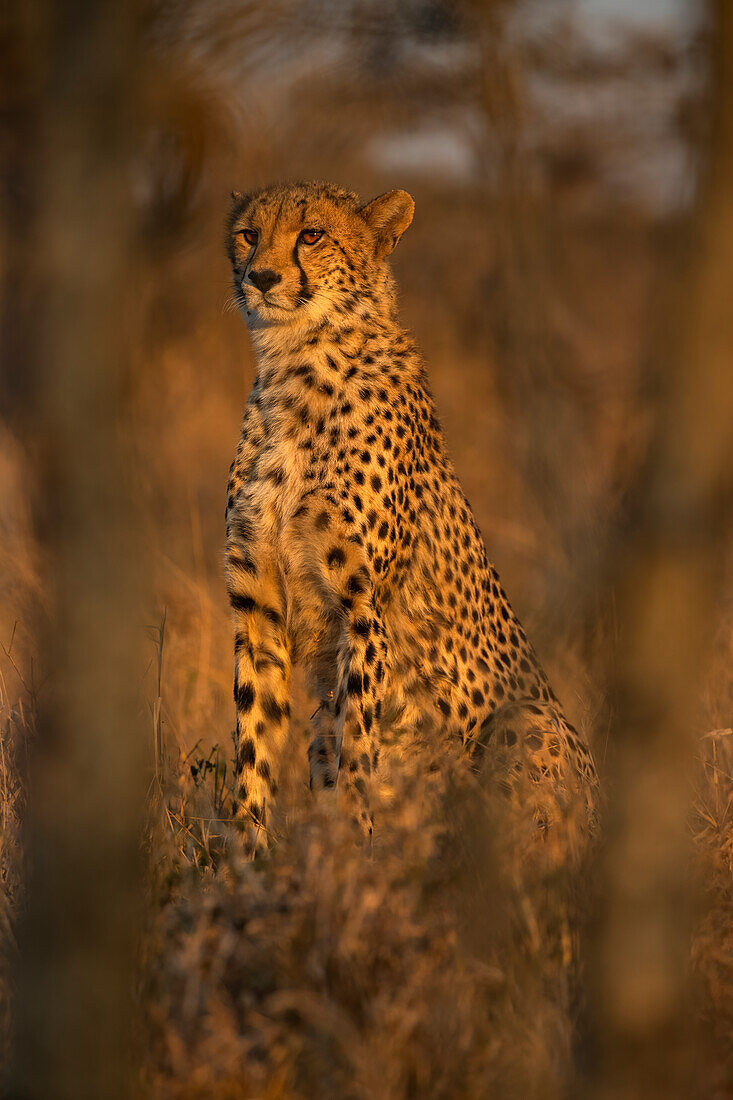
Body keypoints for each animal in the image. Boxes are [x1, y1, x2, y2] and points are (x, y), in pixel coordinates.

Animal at [222, 182, 594, 849]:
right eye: (248, 234)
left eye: (311, 235)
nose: (261, 277)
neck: (296, 369)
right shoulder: (256, 607)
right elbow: (254, 741)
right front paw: (245, 856)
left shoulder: (364, 609)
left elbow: (359, 750)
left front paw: (355, 852)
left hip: (530, 720)